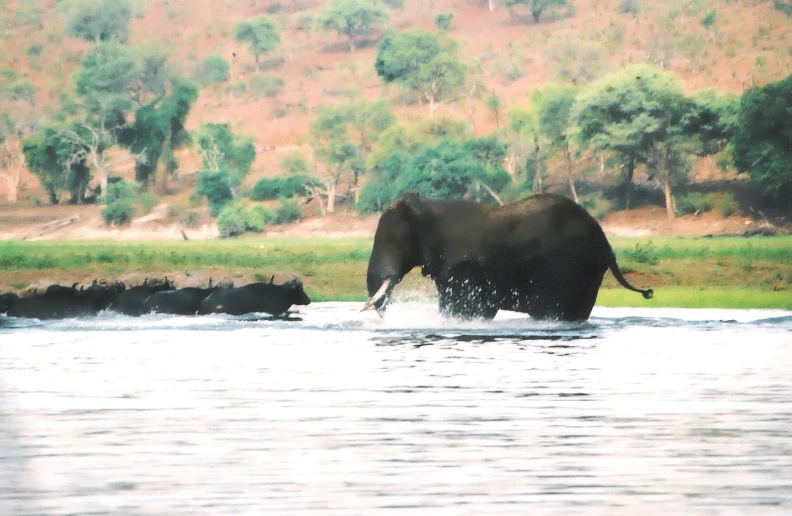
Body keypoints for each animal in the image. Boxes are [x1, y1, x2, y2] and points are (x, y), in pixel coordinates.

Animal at [362, 194, 652, 322]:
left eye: (393, 241)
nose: (386, 318)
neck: (430, 207)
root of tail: (607, 246)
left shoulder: (465, 269)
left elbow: (466, 308)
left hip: (575, 268)